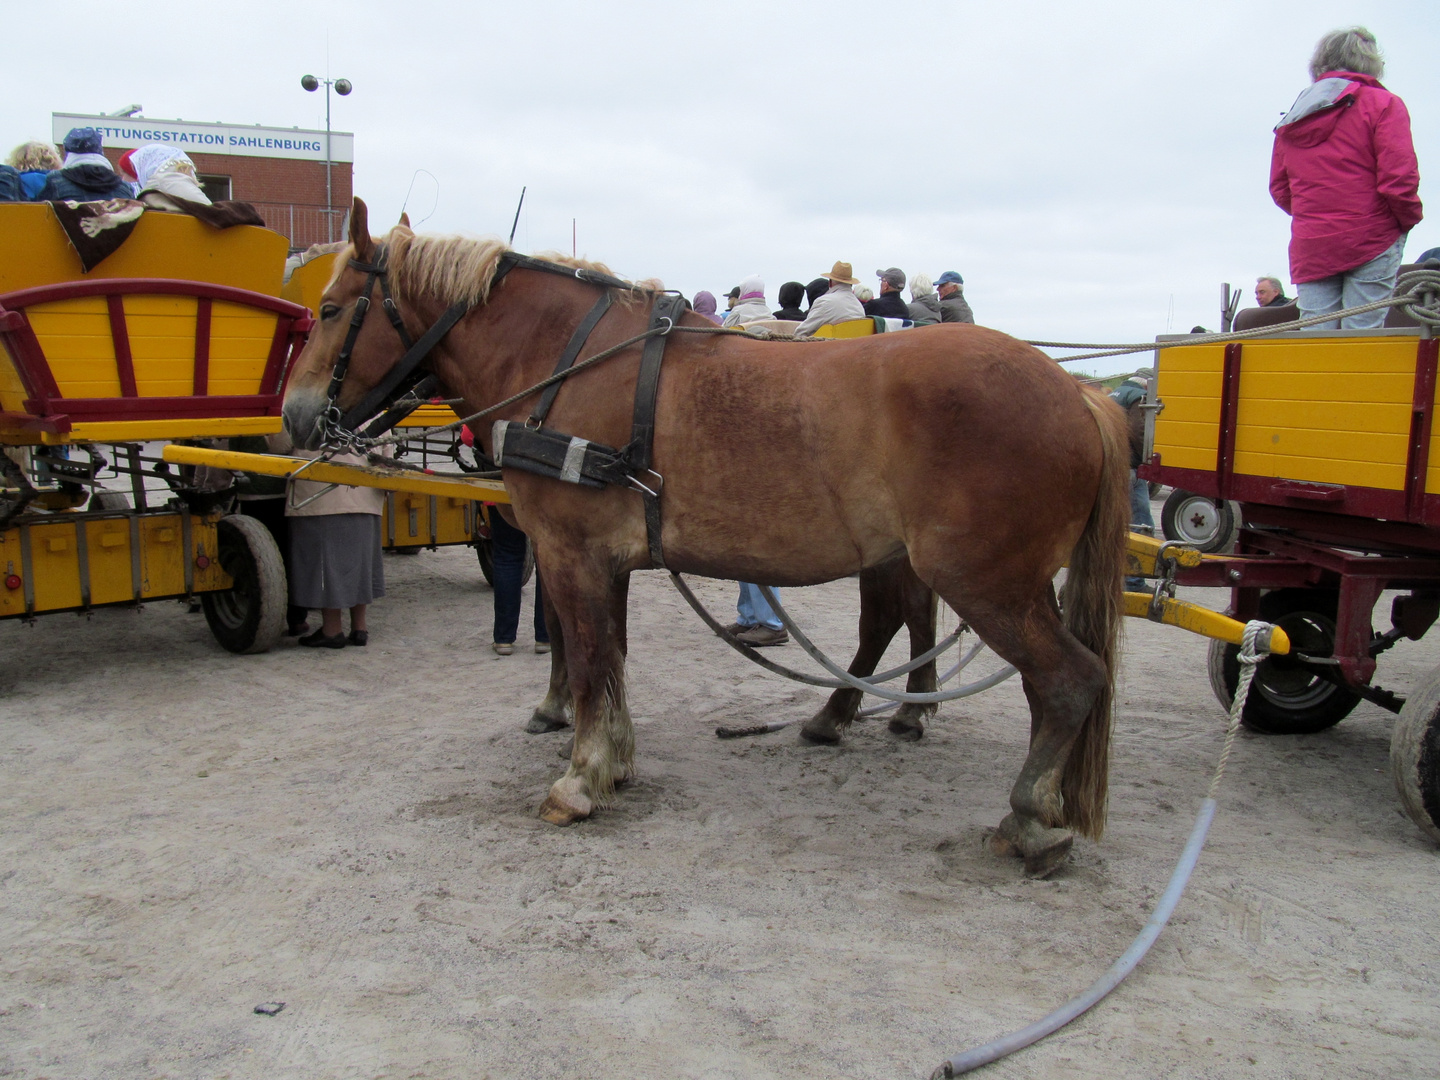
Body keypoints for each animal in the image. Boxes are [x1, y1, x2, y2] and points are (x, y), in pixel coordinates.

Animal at [280, 201, 1128, 881]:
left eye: (331, 308)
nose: (293, 416)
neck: (562, 360)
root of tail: (1077, 391)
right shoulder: (603, 559)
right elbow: (607, 658)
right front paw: (615, 759)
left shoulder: (570, 552)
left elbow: (586, 657)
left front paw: (581, 777)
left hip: (986, 581)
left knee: (1067, 679)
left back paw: (1027, 817)